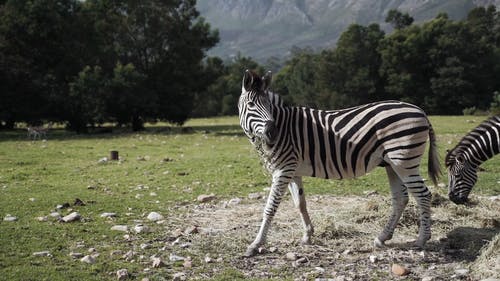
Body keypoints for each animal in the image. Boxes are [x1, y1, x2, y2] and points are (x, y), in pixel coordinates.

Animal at [239, 69, 442, 256]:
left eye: (268, 106)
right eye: (251, 104)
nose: (272, 134)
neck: (284, 128)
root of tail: (421, 111)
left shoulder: (283, 169)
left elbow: (270, 207)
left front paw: (256, 244)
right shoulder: (292, 171)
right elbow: (300, 204)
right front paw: (307, 235)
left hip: (404, 161)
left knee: (423, 195)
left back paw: (421, 240)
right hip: (392, 164)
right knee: (401, 198)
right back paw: (382, 237)